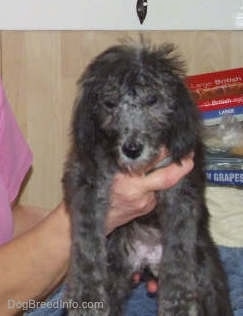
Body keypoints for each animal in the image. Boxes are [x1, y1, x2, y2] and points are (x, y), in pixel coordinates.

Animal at [62, 40, 232, 314]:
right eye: (109, 103)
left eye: (153, 99)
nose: (131, 149)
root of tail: (145, 257)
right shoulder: (86, 180)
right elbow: (86, 238)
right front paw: (85, 294)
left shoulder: (180, 191)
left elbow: (179, 250)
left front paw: (178, 302)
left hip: (208, 275)